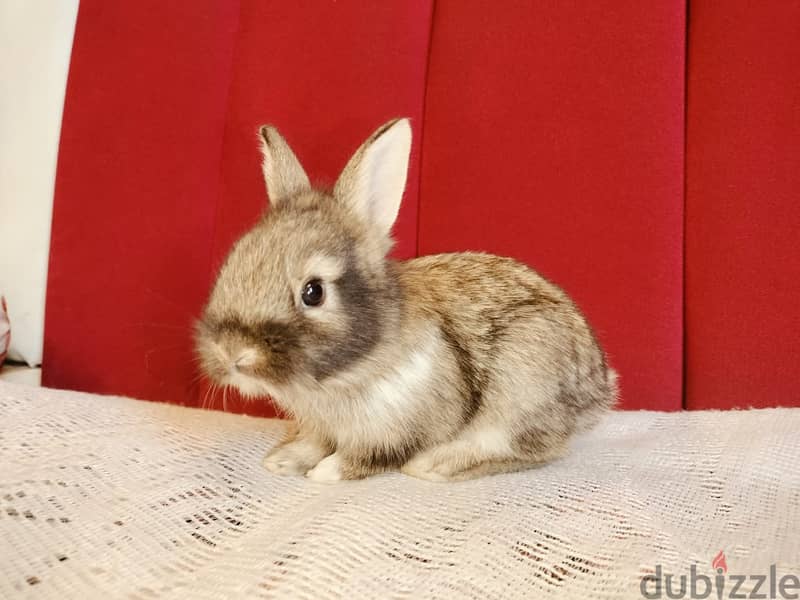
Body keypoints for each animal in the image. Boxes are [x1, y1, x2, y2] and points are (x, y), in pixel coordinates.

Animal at [195, 118, 618, 482]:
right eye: (232, 264)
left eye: (313, 292)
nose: (232, 353)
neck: (343, 375)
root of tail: (598, 389)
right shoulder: (319, 428)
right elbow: (312, 443)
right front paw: (283, 461)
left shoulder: (397, 427)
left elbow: (366, 457)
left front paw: (326, 472)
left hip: (523, 382)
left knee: (529, 448)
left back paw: (435, 465)